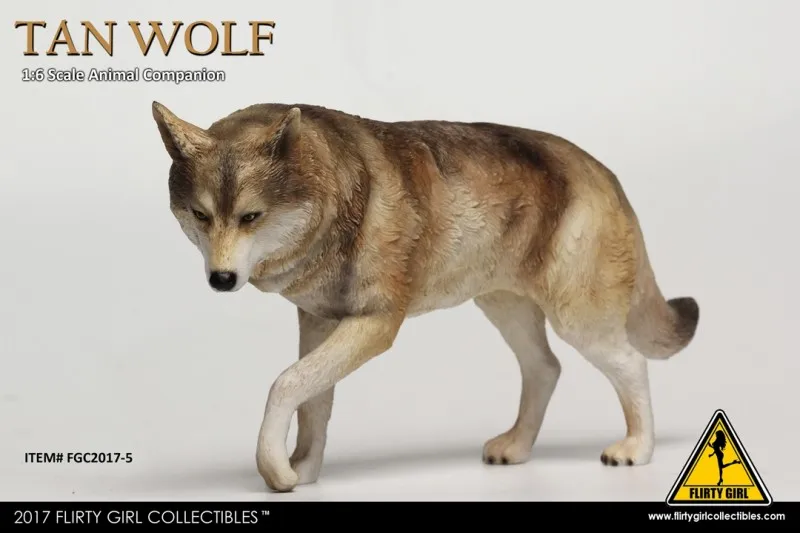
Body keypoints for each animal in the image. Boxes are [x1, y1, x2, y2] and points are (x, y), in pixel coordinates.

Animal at [151, 101, 699, 492]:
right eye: (201, 215)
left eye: (251, 217)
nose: (221, 279)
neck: (339, 195)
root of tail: (602, 170)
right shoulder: (319, 321)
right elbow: (313, 403)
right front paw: (303, 471)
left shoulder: (374, 324)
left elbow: (285, 385)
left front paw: (276, 471)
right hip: (504, 308)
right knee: (545, 368)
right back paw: (518, 447)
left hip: (578, 320)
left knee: (631, 363)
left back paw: (637, 448)